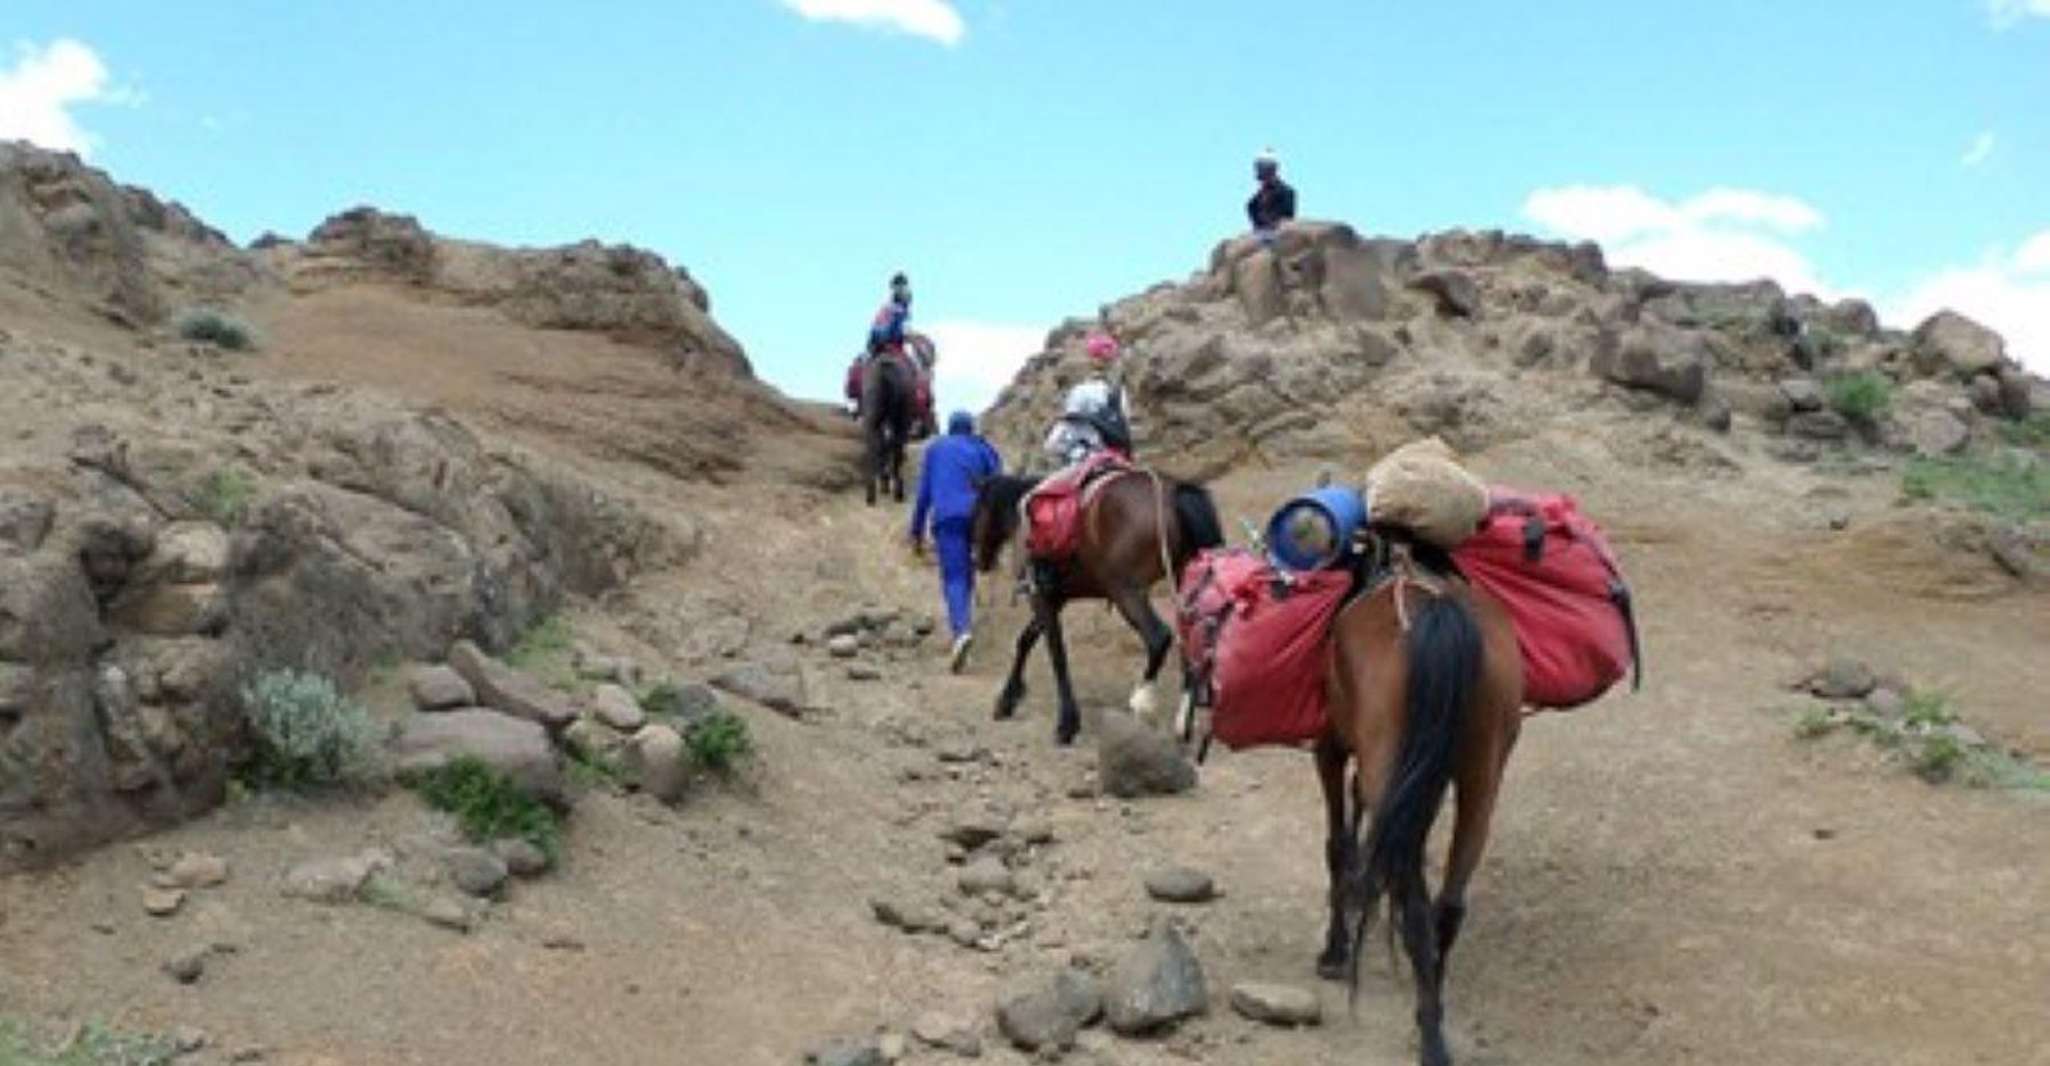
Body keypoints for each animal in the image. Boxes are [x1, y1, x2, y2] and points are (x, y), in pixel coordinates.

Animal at [860, 353, 914, 506]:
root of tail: (886, 365)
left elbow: (882, 447)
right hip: (900, 419)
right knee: (895, 447)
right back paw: (898, 491)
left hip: (873, 416)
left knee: (875, 447)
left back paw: (871, 493)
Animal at [968, 463, 1225, 745]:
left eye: (976, 509)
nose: (976, 558)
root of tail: (1173, 493)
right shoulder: (1056, 598)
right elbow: (1026, 640)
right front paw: (1008, 700)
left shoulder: (1042, 598)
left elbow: (1056, 653)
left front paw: (1067, 723)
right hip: (1183, 586)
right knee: (1193, 641)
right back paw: (1182, 722)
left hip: (1126, 591)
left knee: (1159, 637)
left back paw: (1142, 701)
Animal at [1305, 542, 1525, 1066]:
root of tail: (1438, 613)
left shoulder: (1330, 747)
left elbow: (1338, 846)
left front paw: (1335, 949)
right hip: (1481, 777)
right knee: (1447, 905)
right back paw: (1432, 1012)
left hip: (1391, 764)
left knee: (1415, 902)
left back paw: (1428, 1035)